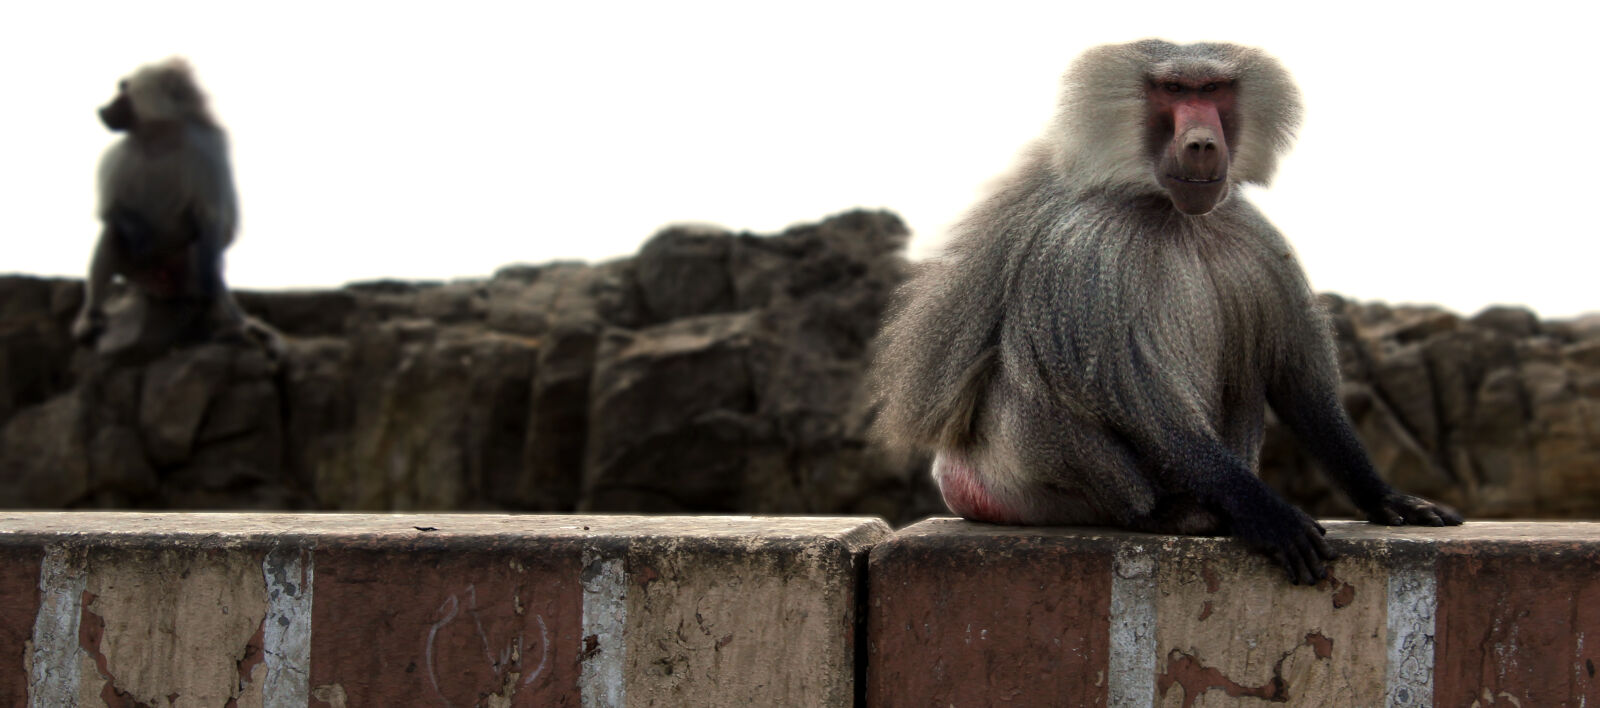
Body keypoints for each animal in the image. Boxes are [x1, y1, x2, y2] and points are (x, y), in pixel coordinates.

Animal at [71, 57, 256, 350]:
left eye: (124, 89)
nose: (102, 109)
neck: (159, 137)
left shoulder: (206, 149)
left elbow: (214, 220)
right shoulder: (120, 155)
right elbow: (112, 211)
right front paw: (138, 234)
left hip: (184, 275)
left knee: (199, 247)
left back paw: (226, 322)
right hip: (139, 275)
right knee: (112, 233)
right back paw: (89, 319)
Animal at [870, 40, 1461, 585]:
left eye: (1213, 90)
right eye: (1172, 90)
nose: (1200, 142)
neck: (1176, 215)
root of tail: (953, 479)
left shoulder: (1253, 236)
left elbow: (1294, 380)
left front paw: (1385, 496)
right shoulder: (1089, 252)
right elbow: (1140, 402)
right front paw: (1268, 514)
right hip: (1010, 481)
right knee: (1039, 382)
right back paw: (1168, 514)